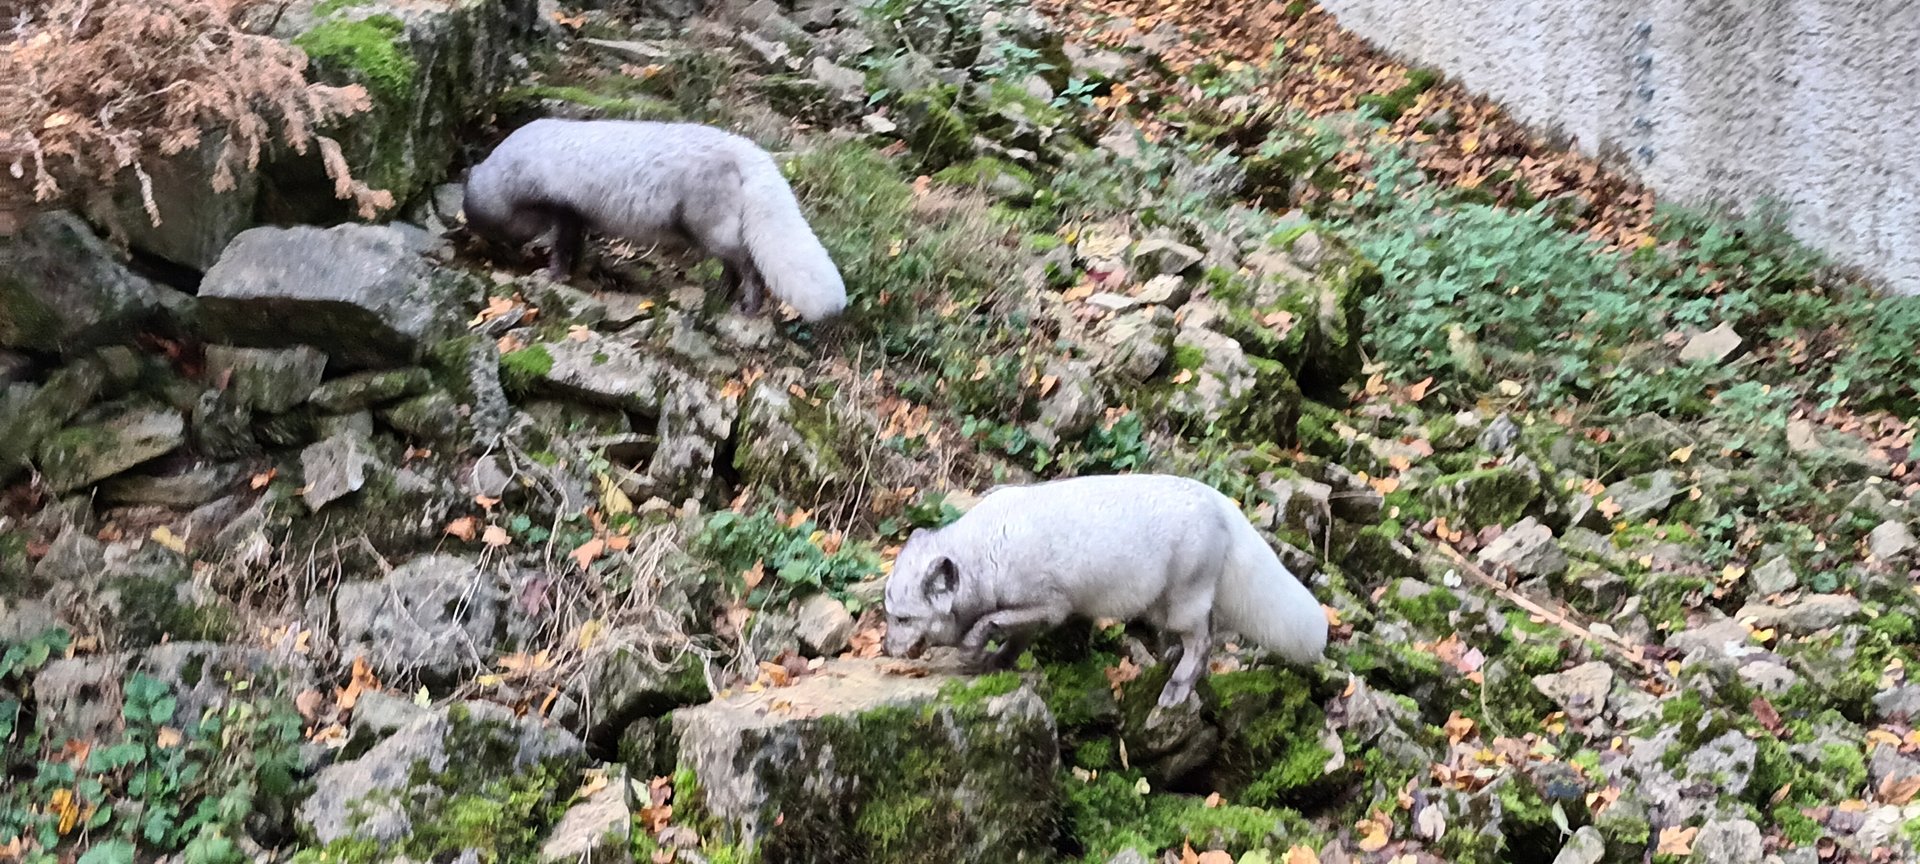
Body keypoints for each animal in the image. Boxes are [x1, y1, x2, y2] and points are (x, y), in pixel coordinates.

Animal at [461, 118, 848, 322]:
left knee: (747, 264)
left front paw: (552, 275)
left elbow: (562, 247)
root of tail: (747, 151)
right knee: (734, 266)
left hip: (710, 227)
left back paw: (747, 306)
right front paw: (573, 270)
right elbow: (576, 246)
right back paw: (719, 294)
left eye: (492, 234)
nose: (493, 256)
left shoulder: (563, 210)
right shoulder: (577, 216)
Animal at [883, 473, 1330, 708]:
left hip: (1182, 602)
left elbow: (992, 623)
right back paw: (1172, 659)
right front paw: (997, 662)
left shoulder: (1051, 606)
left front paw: (973, 649)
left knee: (1203, 641)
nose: (886, 648)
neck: (986, 555)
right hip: (1164, 605)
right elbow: (1014, 638)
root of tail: (1218, 499)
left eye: (903, 618)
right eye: (887, 615)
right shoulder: (1032, 611)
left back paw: (1178, 686)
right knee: (1209, 628)